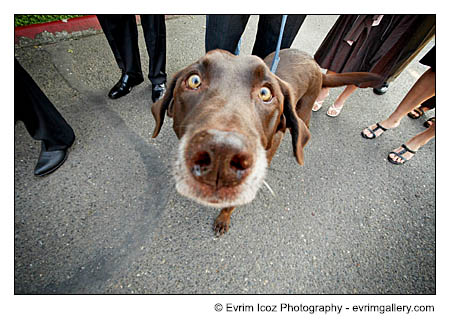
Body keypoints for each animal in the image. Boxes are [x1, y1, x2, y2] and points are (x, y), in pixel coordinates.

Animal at [151, 47, 380, 235]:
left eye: (265, 93)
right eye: (194, 80)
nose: (221, 154)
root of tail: (315, 63)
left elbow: (230, 206)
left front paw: (223, 219)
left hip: (305, 109)